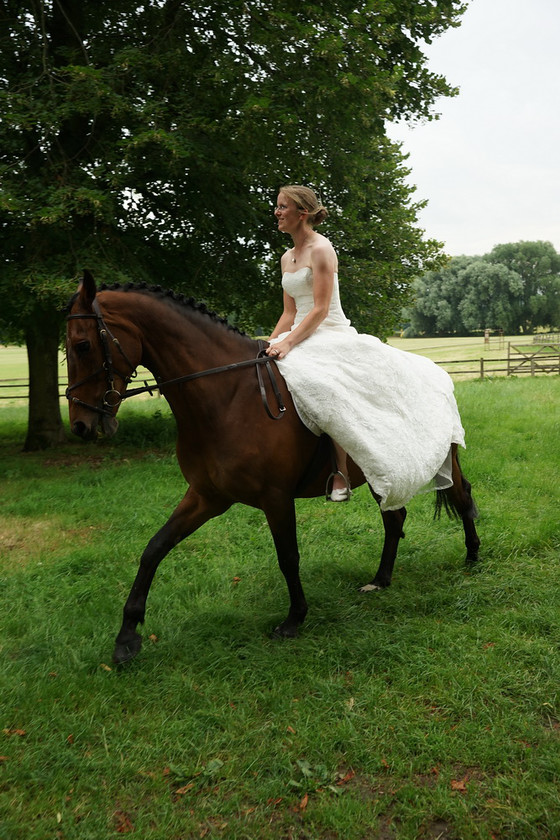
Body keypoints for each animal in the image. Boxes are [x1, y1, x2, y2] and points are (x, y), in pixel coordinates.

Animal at [64, 272, 476, 668]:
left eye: (82, 345)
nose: (81, 425)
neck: (228, 396)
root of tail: (436, 371)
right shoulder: (207, 496)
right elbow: (154, 549)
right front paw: (126, 639)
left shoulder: (275, 498)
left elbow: (288, 557)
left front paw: (294, 620)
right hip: (381, 468)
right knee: (395, 517)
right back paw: (380, 579)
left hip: (438, 458)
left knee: (461, 495)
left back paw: (472, 558)